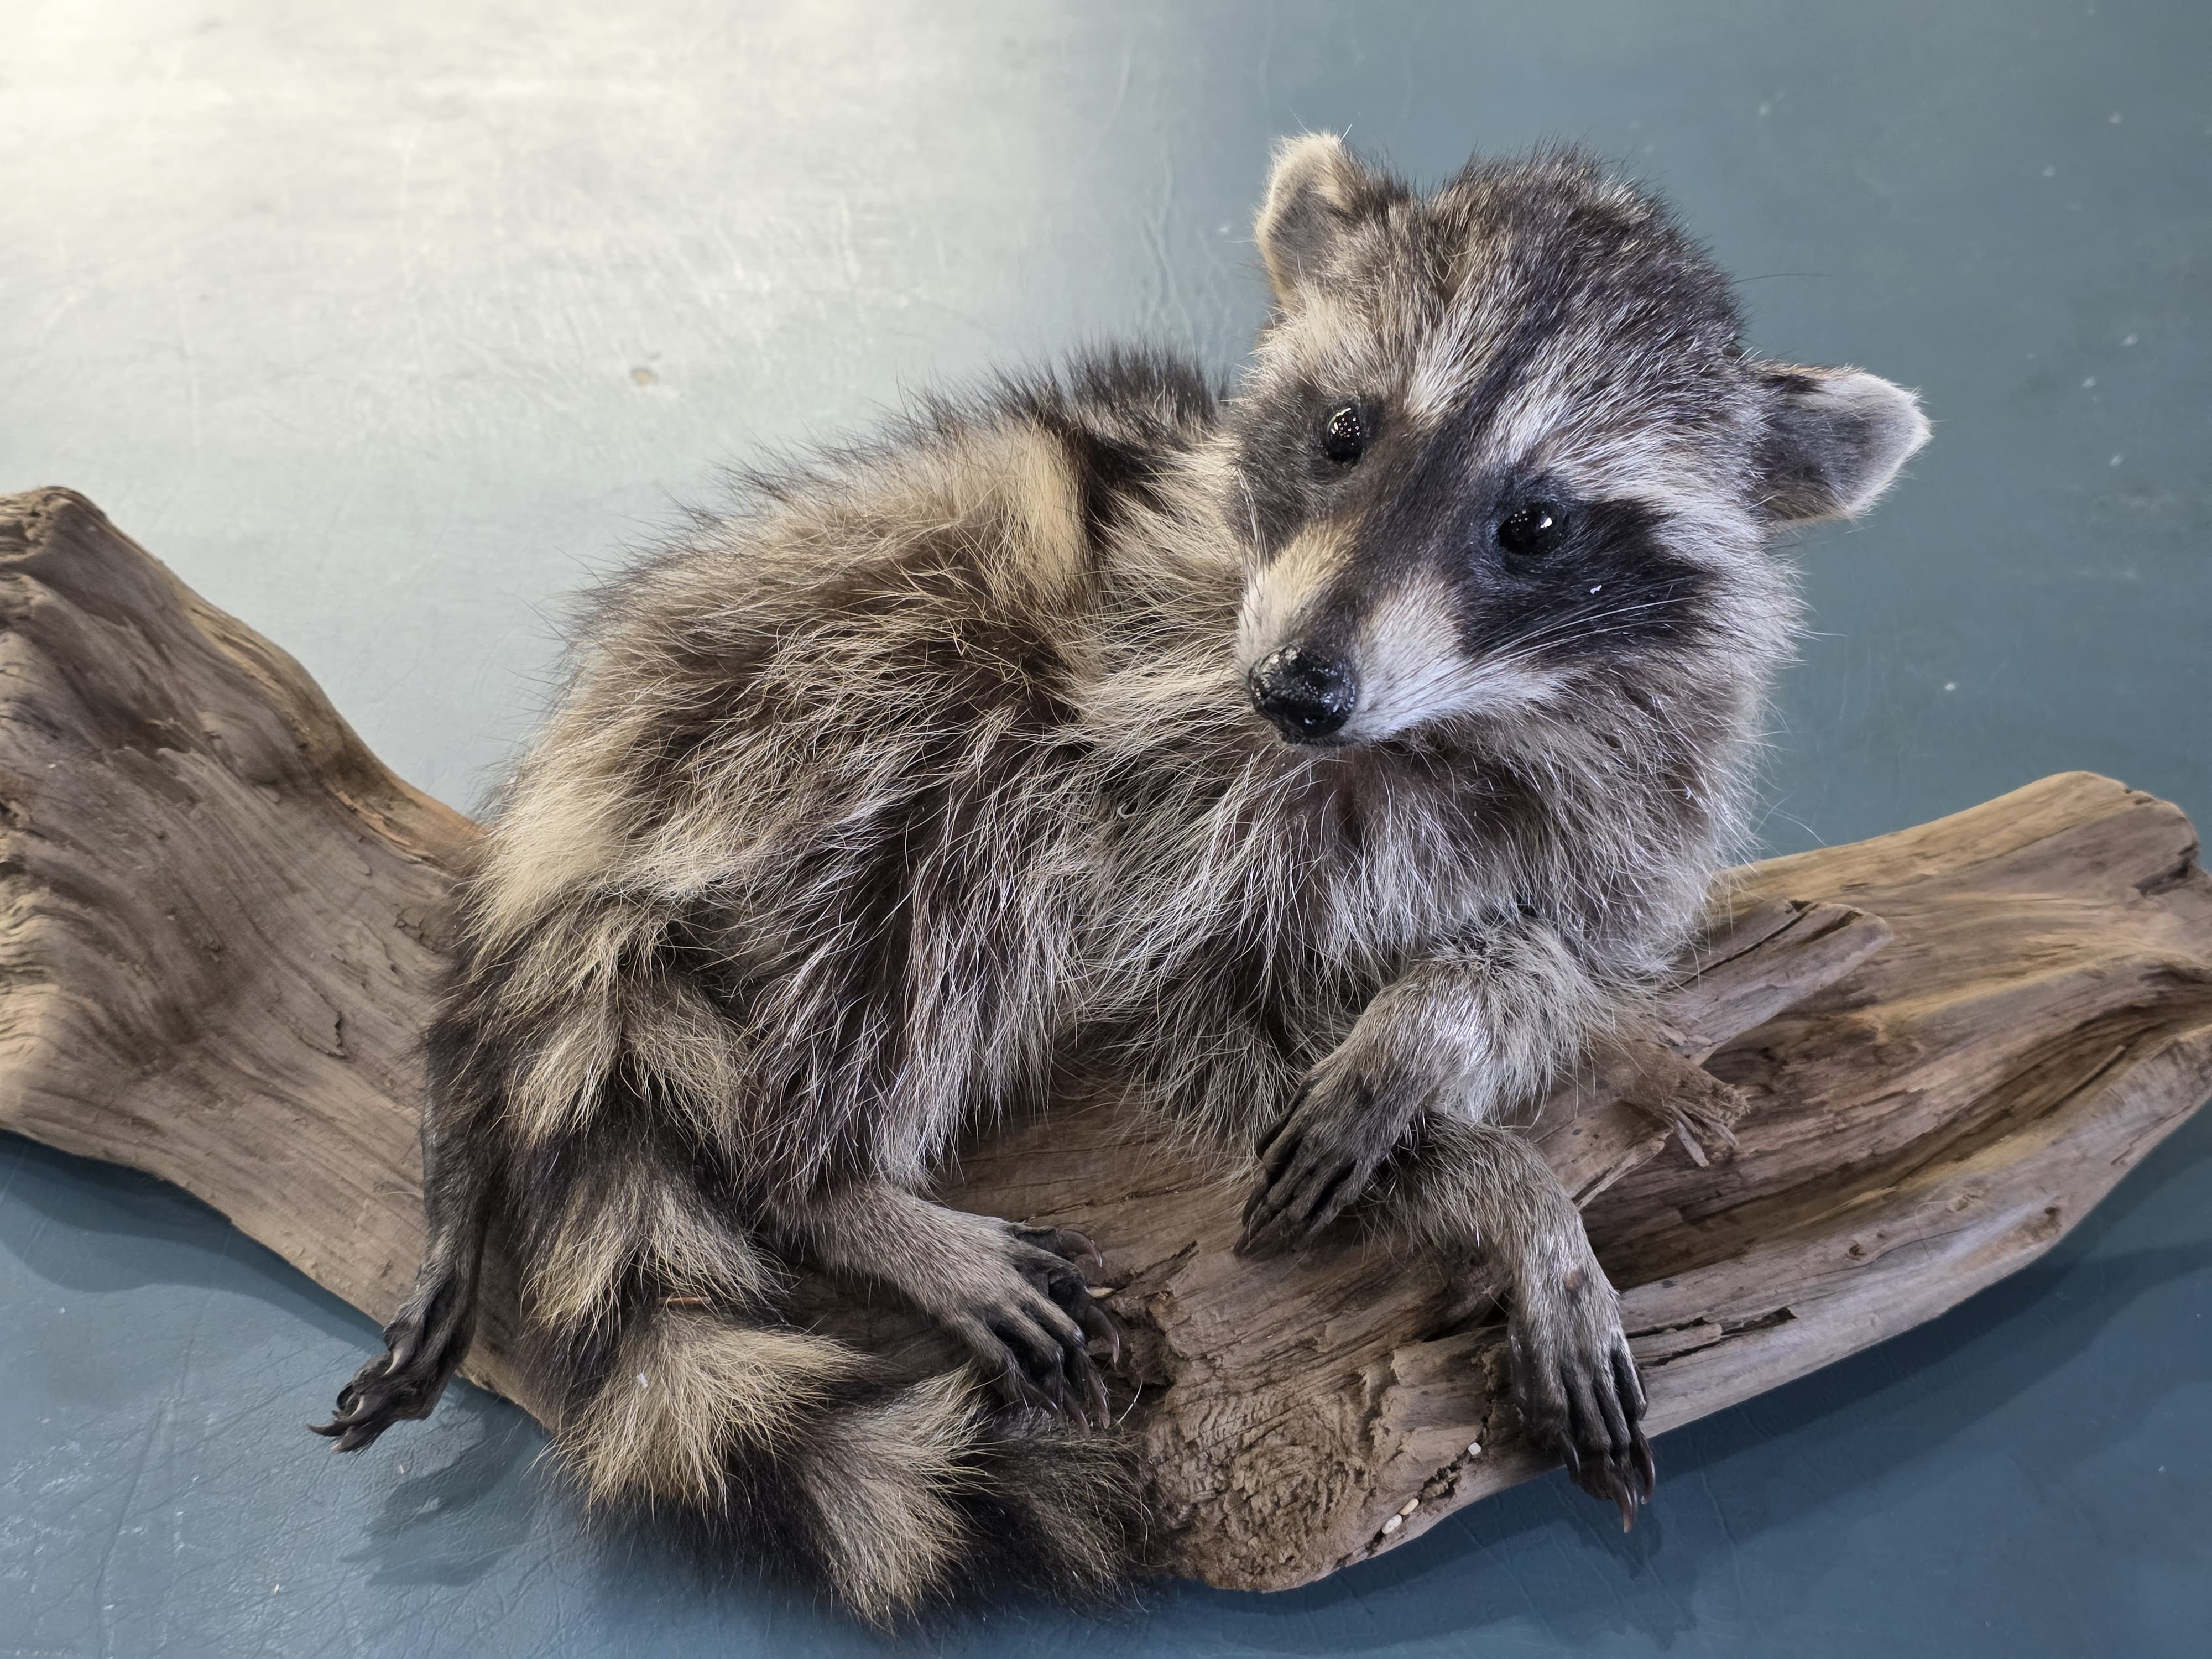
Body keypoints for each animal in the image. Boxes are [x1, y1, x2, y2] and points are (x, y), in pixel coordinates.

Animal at [314, 136, 1927, 1621]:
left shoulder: (1635, 812)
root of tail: (604, 730)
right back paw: (816, 1178)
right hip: (834, 656)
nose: (1301, 687)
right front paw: (1504, 1180)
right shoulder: (1164, 779)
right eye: (1343, 433)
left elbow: (1560, 970)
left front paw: (1438, 1040)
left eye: (1533, 523)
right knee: (939, 837)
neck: (1435, 728)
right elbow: (1205, 1023)